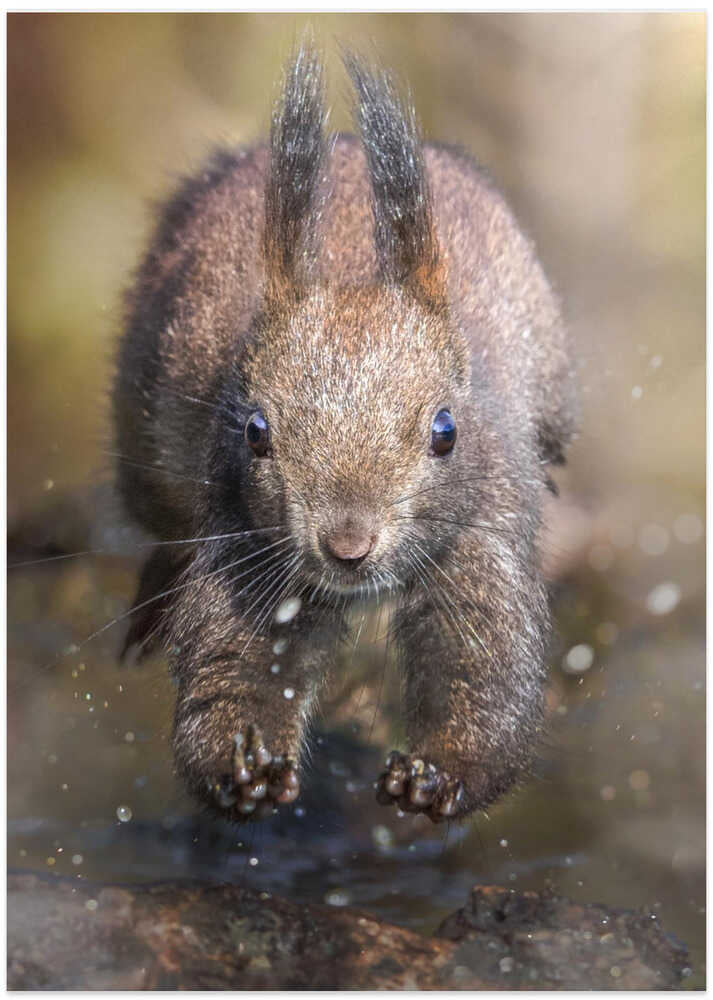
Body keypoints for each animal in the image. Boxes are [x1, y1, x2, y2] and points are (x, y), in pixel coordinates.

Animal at [113, 43, 577, 824]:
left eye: (445, 432)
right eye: (256, 431)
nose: (347, 546)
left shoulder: (481, 529)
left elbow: (486, 667)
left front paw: (436, 774)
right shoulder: (245, 542)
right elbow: (236, 660)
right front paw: (243, 767)